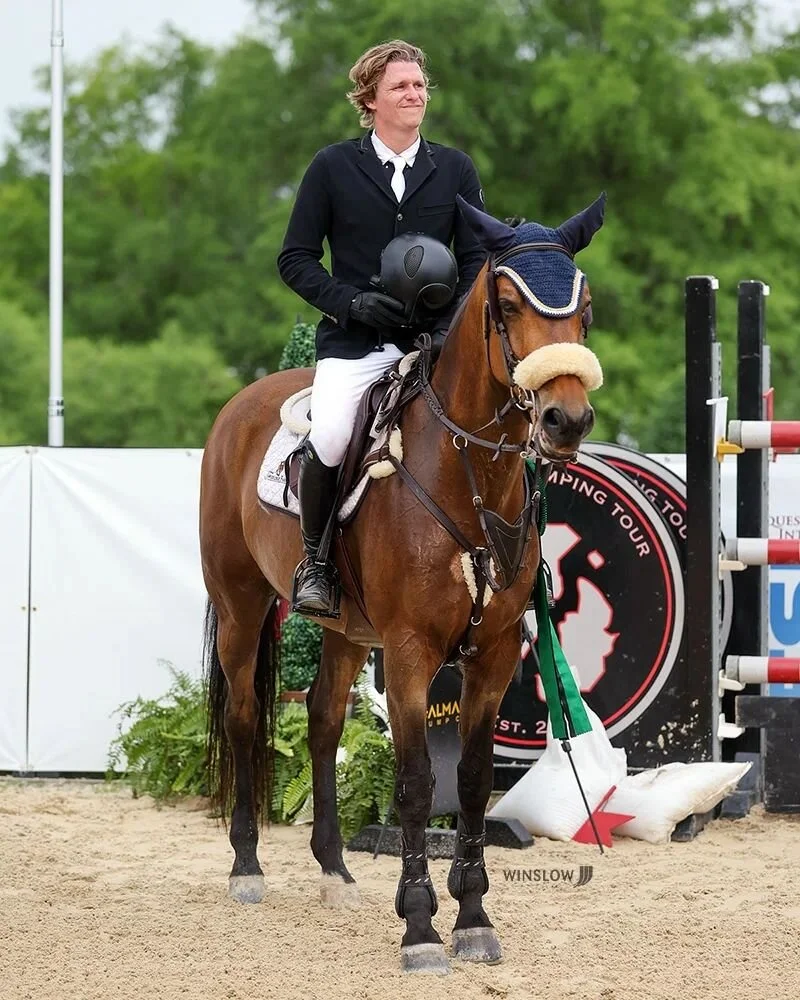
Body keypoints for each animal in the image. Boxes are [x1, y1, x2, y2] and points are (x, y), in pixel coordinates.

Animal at [200, 191, 608, 972]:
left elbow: (473, 782)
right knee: (243, 717)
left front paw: (474, 919)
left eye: (585, 308)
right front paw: (420, 928)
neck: (470, 475)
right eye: (507, 306)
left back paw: (334, 871)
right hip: (241, 605)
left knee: (324, 719)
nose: (565, 419)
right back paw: (246, 868)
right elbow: (418, 783)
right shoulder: (413, 653)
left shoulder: (493, 655)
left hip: (347, 631)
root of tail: (240, 405)